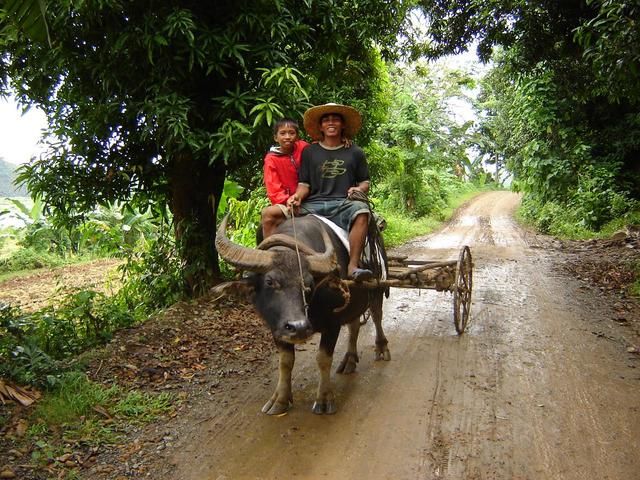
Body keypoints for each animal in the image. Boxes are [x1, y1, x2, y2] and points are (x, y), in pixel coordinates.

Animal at [214, 214, 390, 412]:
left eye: (309, 284)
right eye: (270, 282)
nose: (298, 327)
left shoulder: (332, 324)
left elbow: (323, 358)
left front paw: (324, 399)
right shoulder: (277, 327)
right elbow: (285, 361)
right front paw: (280, 399)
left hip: (377, 288)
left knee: (376, 316)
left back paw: (381, 348)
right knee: (354, 325)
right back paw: (349, 360)